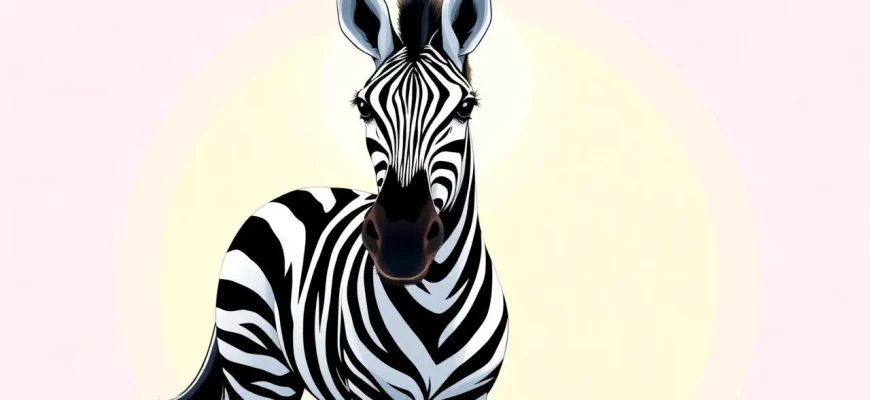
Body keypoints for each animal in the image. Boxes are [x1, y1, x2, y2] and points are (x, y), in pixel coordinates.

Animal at [171, 0, 508, 398]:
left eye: (465, 108)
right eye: (364, 108)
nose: (402, 243)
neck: (436, 301)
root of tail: (285, 196)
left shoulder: (474, 391)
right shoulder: (367, 389)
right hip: (255, 365)